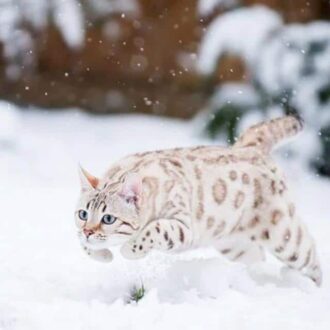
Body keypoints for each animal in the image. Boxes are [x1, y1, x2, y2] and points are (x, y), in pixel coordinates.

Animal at [75, 116, 322, 286]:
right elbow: (83, 245)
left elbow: (153, 229)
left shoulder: (184, 227)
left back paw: (309, 289)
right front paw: (104, 255)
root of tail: (249, 146)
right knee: (258, 257)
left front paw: (128, 250)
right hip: (232, 244)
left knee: (311, 254)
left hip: (283, 236)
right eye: (83, 214)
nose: (88, 231)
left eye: (108, 218)